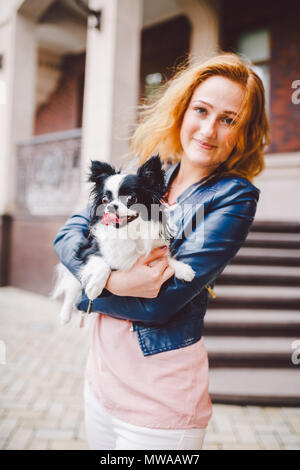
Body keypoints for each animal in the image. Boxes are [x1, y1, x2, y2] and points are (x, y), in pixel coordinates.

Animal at [52, 156, 196, 324]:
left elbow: (165, 258)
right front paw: (94, 288)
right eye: (105, 200)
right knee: (71, 287)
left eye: (131, 198)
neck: (127, 232)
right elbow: (102, 264)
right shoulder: (86, 250)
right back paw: (65, 315)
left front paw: (182, 268)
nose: (110, 206)